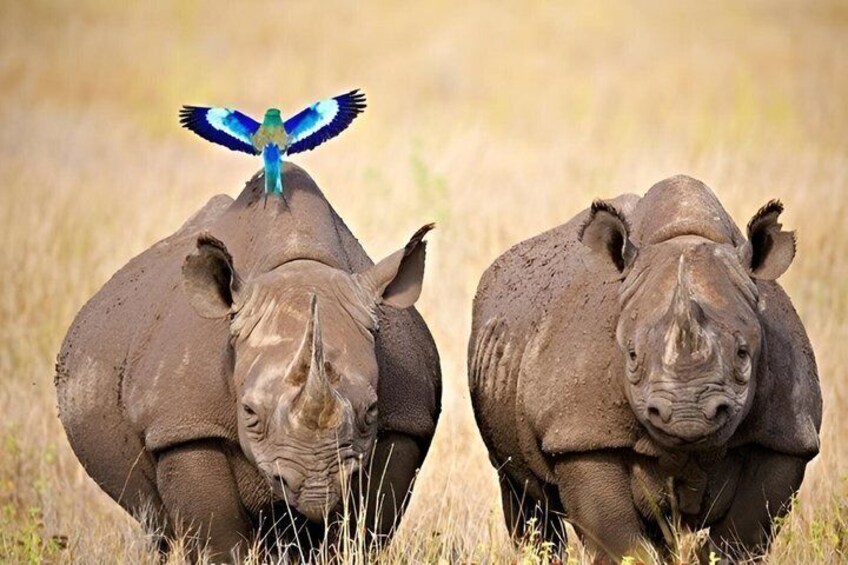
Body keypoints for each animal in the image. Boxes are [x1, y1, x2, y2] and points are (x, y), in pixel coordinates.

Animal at [55, 164, 441, 560]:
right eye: (250, 412)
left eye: (371, 411)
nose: (316, 486)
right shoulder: (184, 427)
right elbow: (217, 538)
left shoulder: (404, 421)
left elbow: (363, 529)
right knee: (156, 523)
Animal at [469, 175, 821, 562]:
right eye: (633, 355)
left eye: (743, 354)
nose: (687, 416)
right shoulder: (580, 436)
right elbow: (623, 544)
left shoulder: (787, 437)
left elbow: (739, 541)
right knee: (525, 496)